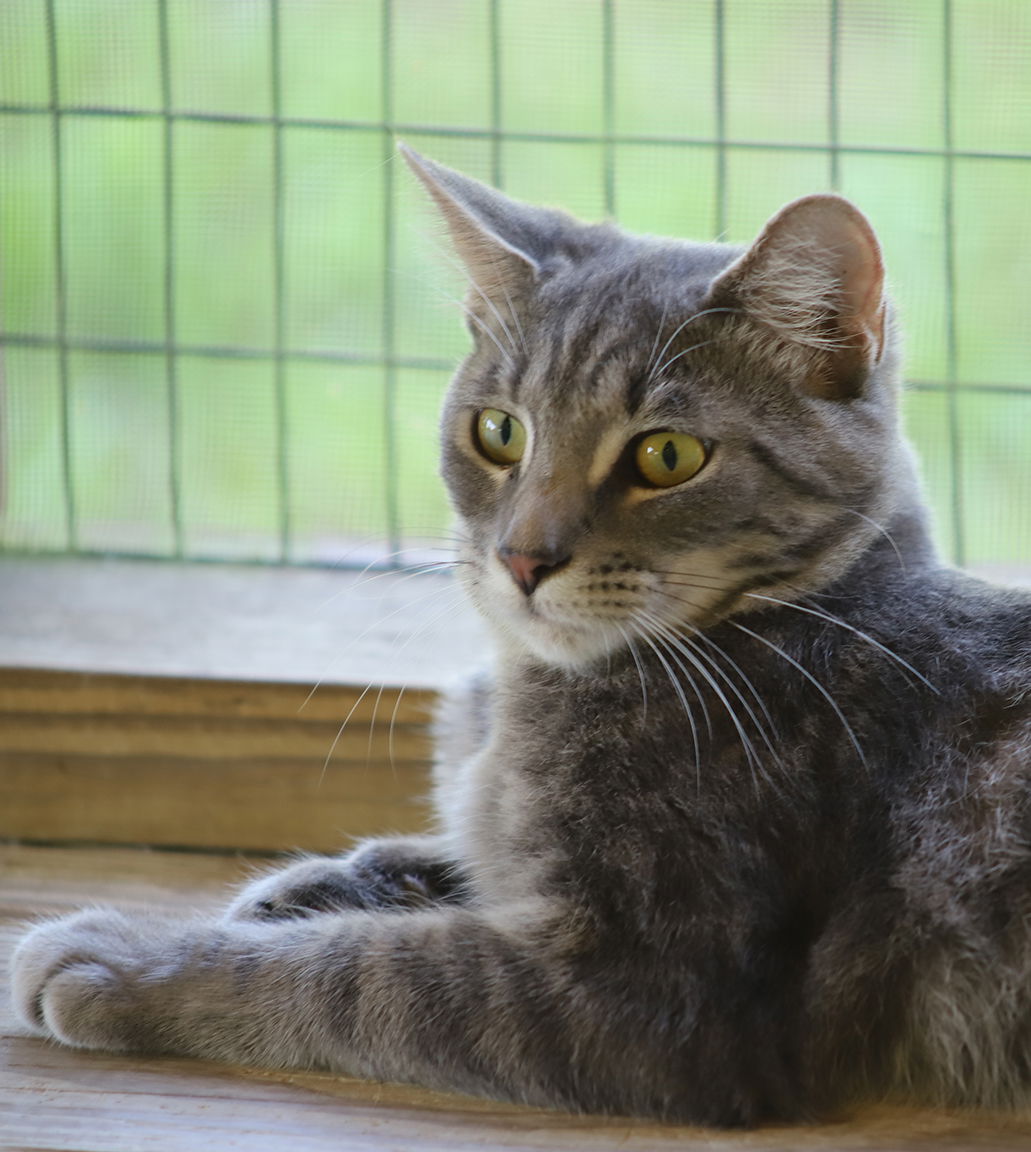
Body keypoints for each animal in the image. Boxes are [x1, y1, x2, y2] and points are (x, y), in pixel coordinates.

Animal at [10, 144, 1031, 1124]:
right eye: (498, 432)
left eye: (668, 455)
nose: (522, 557)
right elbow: (453, 854)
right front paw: (315, 886)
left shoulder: (652, 992)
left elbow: (359, 971)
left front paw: (130, 956)